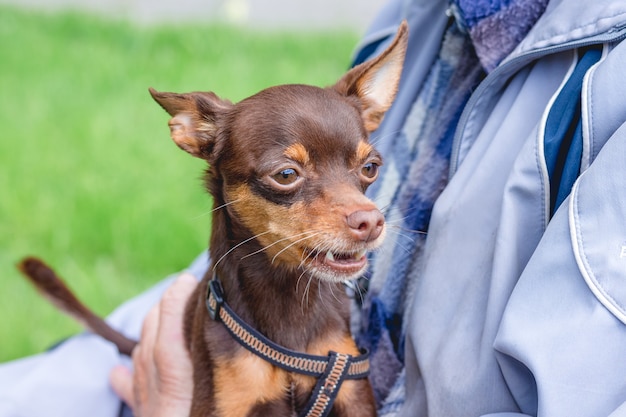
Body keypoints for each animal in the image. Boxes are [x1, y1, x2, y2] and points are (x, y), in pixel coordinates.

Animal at [19, 22, 408, 416]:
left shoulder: (352, 394)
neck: (289, 297)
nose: (371, 221)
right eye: (286, 175)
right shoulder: (226, 401)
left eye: (370, 168)